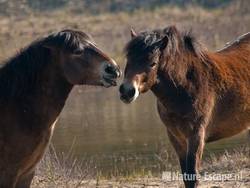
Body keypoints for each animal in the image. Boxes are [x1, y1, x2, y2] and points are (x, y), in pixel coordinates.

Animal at [119, 25, 250, 187]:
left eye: (153, 63)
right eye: (128, 59)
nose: (127, 91)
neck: (187, 85)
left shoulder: (196, 136)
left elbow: (193, 175)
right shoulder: (177, 138)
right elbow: (186, 176)